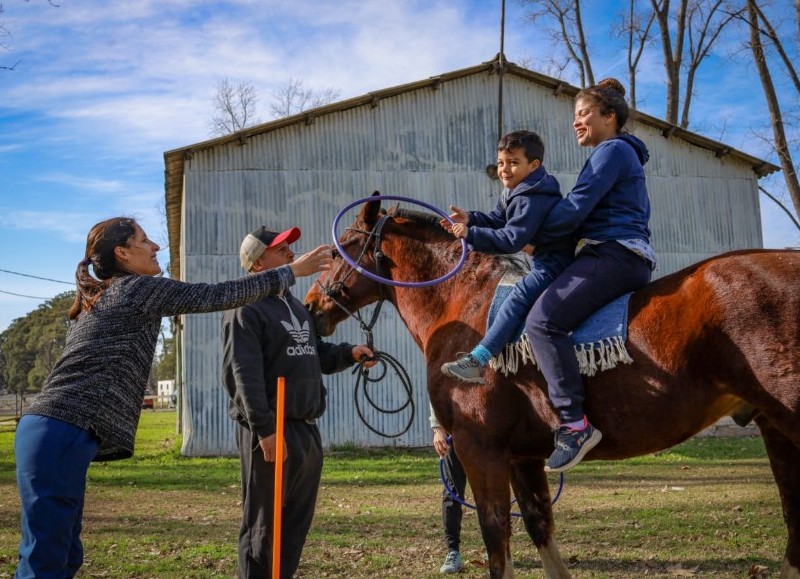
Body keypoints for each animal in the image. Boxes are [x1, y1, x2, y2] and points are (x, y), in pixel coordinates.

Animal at [302, 196, 800, 579]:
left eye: (339, 251)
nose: (310, 306)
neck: (468, 306)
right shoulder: (523, 457)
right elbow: (539, 526)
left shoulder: (480, 450)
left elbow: (497, 538)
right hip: (775, 429)